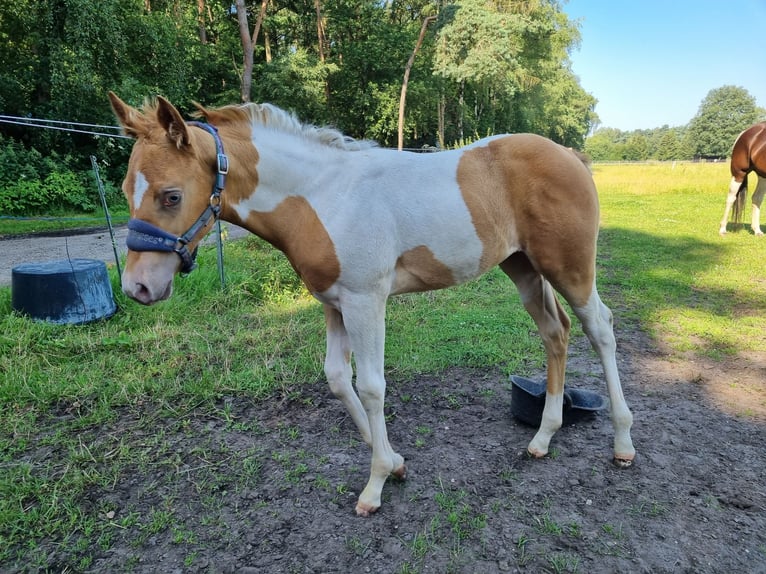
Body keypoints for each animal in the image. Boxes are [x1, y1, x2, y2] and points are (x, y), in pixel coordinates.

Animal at [108, 93, 636, 516]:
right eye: (126, 191)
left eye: (171, 195)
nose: (137, 288)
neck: (323, 196)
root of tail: (569, 153)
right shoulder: (333, 304)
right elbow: (338, 379)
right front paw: (397, 463)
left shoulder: (366, 302)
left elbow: (371, 387)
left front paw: (376, 484)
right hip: (524, 268)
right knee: (555, 332)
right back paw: (543, 437)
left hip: (570, 268)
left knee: (600, 328)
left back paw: (623, 441)